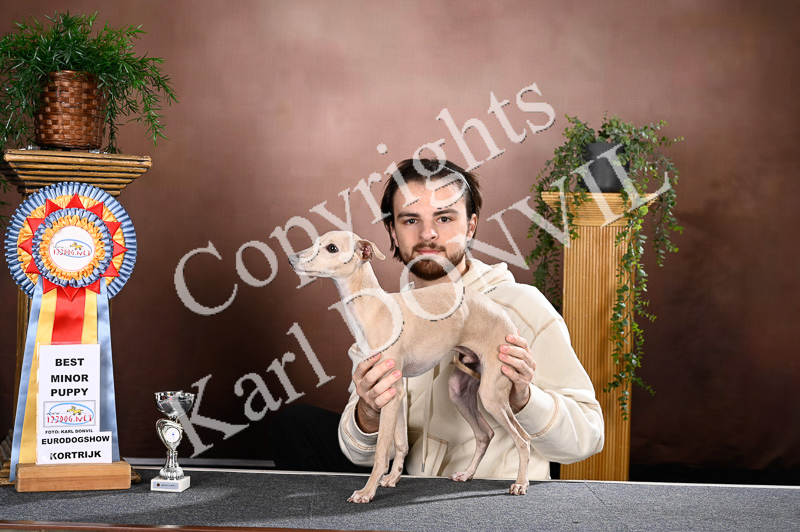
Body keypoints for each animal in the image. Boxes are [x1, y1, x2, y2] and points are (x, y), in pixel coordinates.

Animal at [289, 231, 531, 503]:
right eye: (315, 242)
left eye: (331, 248)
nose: (291, 258)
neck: (374, 307)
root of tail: (504, 317)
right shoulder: (396, 391)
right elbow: (401, 442)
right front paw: (392, 479)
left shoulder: (391, 395)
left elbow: (382, 451)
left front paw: (367, 492)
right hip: (460, 391)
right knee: (485, 434)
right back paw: (467, 474)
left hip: (491, 395)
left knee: (523, 439)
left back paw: (520, 483)